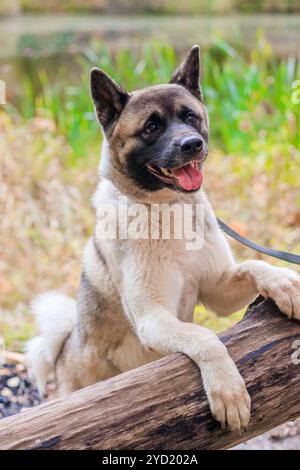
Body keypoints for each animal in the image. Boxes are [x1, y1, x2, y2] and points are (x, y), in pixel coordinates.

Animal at [26, 46, 300, 432]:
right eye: (151, 127)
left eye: (190, 116)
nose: (192, 144)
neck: (167, 212)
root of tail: (65, 347)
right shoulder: (153, 317)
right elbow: (205, 337)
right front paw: (228, 392)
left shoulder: (218, 291)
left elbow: (254, 264)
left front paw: (286, 284)